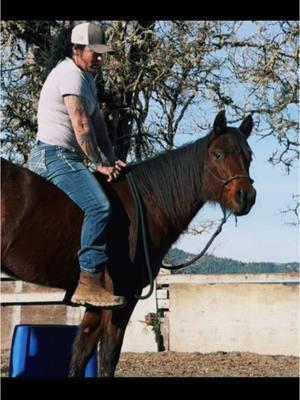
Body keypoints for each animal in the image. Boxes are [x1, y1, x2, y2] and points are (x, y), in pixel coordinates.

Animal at [1, 111, 256, 376]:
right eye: (218, 154)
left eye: (248, 156)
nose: (246, 197)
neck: (144, 205)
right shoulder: (122, 295)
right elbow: (109, 354)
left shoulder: (97, 302)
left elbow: (82, 353)